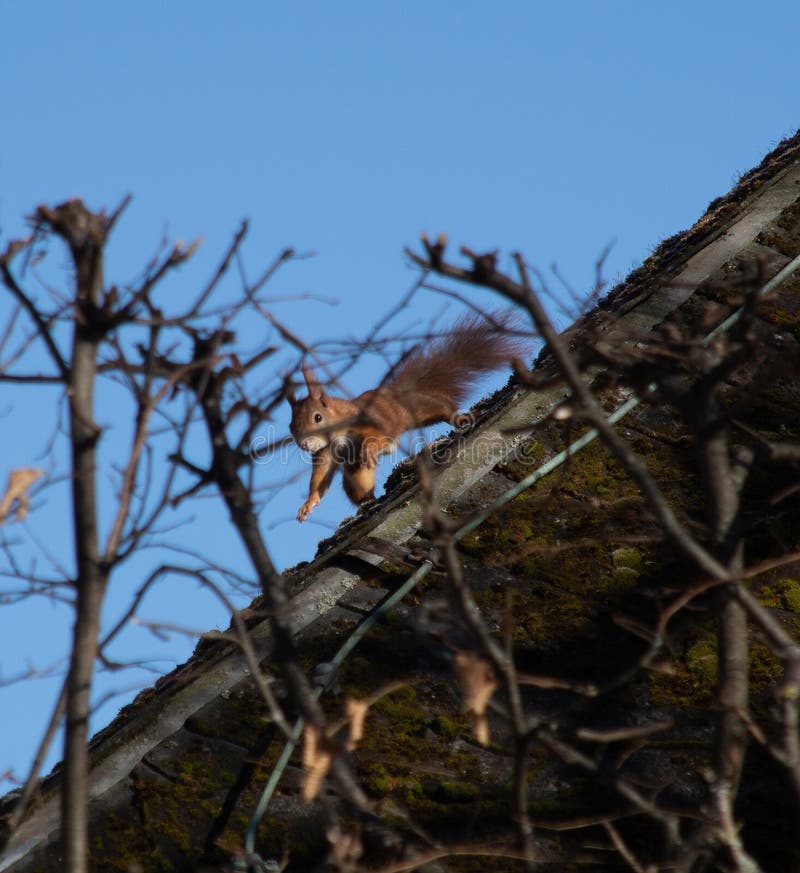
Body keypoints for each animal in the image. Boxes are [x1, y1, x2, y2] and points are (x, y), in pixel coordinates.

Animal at [288, 312, 521, 522]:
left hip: (416, 409)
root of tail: (396, 392)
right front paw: (309, 502)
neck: (336, 432)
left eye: (317, 417)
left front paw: (369, 449)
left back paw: (459, 418)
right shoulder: (326, 451)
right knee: (357, 482)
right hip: (355, 474)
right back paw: (368, 502)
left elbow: (377, 436)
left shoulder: (372, 420)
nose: (304, 445)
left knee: (441, 406)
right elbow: (321, 476)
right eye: (291, 427)